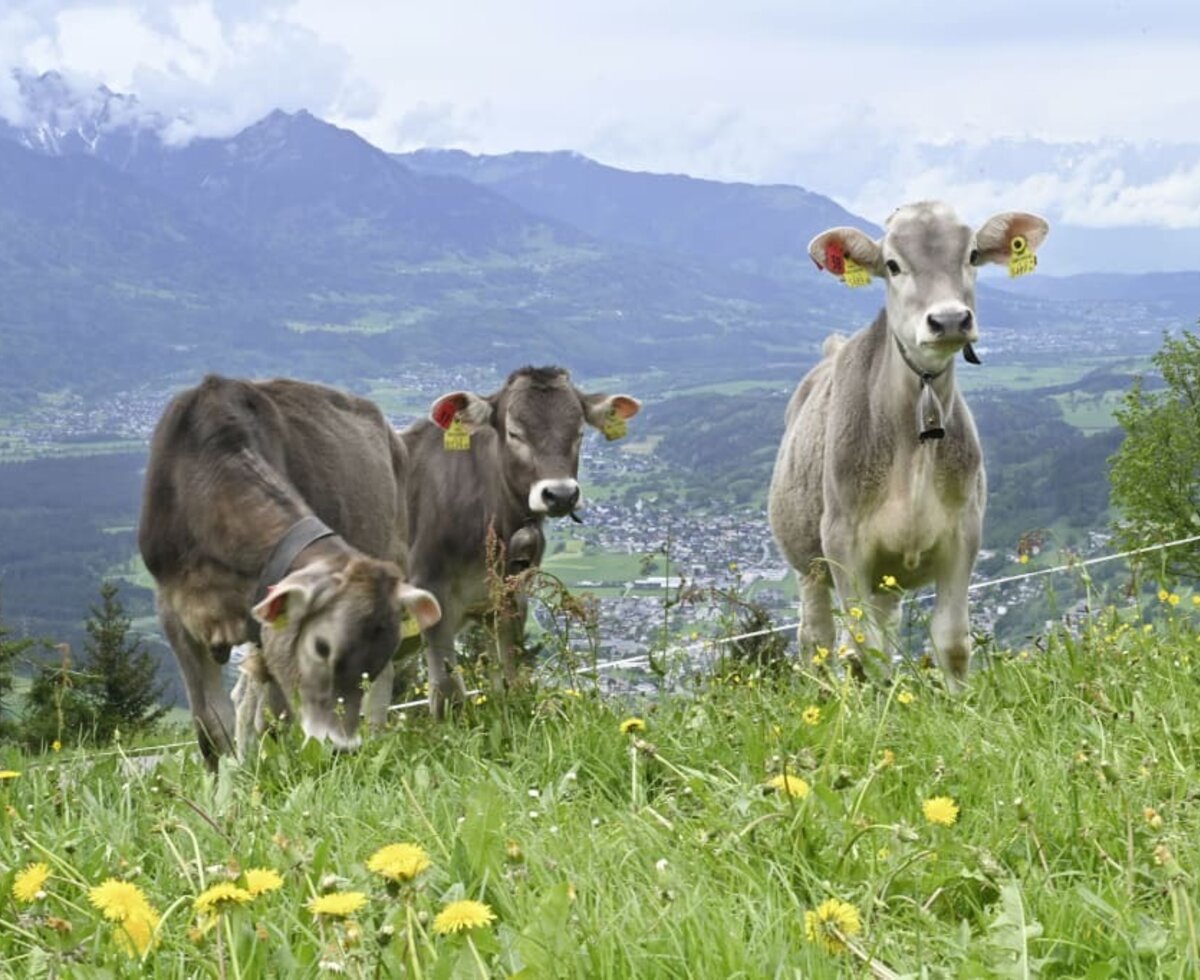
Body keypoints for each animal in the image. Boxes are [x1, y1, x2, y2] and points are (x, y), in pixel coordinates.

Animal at [139, 374, 441, 762]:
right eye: (321, 648)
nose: (341, 747)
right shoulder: (173, 611)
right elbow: (210, 725)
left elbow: (274, 718)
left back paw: (375, 738)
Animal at [403, 362, 643, 714]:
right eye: (514, 433)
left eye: (579, 433)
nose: (561, 494)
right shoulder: (432, 591)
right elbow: (448, 694)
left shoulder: (508, 597)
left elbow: (510, 681)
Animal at [772, 199, 1046, 686]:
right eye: (893, 265)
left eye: (972, 254)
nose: (950, 319)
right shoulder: (842, 543)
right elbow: (863, 649)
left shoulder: (963, 534)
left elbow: (951, 641)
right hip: (807, 563)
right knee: (817, 639)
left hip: (887, 581)